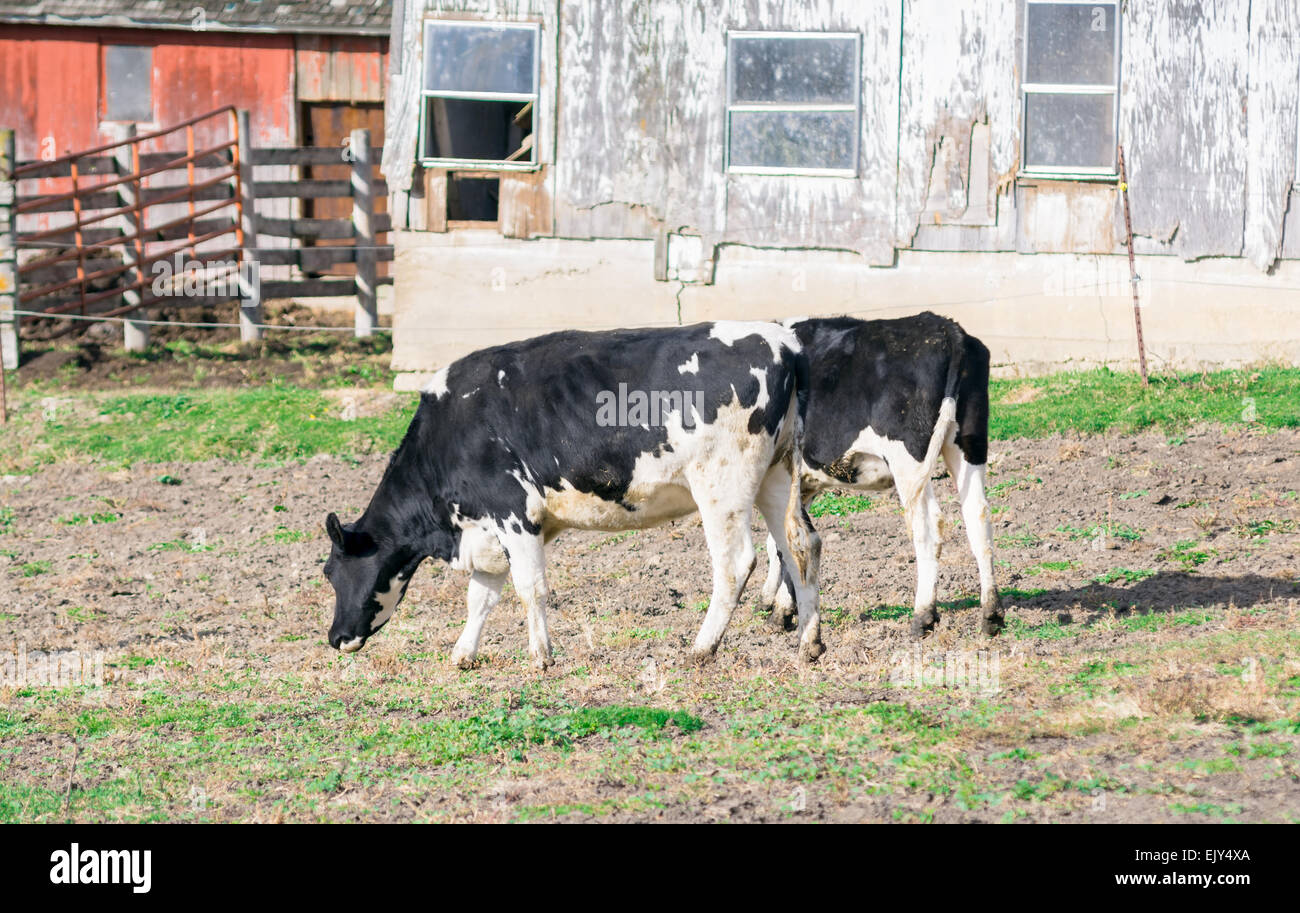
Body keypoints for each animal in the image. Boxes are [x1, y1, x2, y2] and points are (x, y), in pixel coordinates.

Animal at [323, 321, 825, 668]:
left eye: (331, 572)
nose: (335, 637)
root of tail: (781, 340)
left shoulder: (513, 513)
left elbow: (530, 588)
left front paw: (541, 656)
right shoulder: (487, 530)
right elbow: (480, 596)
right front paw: (464, 653)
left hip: (722, 484)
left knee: (735, 562)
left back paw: (702, 647)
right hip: (778, 475)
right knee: (799, 545)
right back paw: (809, 642)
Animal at [759, 313, 1001, 638]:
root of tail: (945, 328)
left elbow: (785, 543)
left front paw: (781, 611)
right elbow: (783, 543)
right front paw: (782, 607)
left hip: (908, 460)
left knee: (928, 526)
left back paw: (922, 616)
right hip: (968, 444)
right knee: (978, 516)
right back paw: (991, 614)